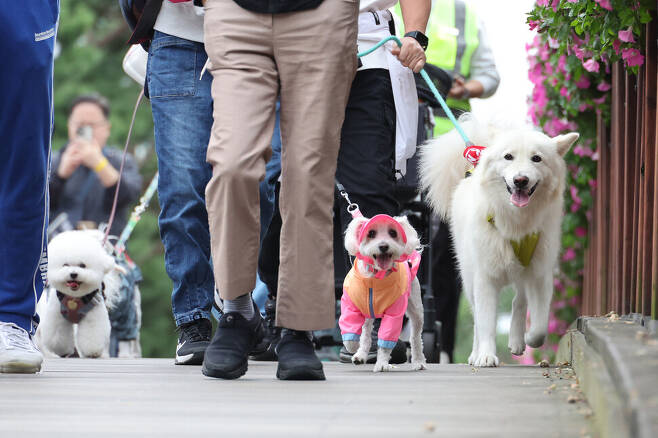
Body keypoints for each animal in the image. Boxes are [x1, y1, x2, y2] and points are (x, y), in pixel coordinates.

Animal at [420, 116, 576, 366]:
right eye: (508, 156)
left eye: (536, 158)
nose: (520, 180)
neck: (516, 222)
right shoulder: (485, 278)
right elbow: (484, 324)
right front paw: (485, 355)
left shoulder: (540, 274)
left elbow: (540, 326)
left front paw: (529, 339)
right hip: (468, 277)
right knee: (477, 318)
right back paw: (475, 354)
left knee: (519, 300)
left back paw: (517, 340)